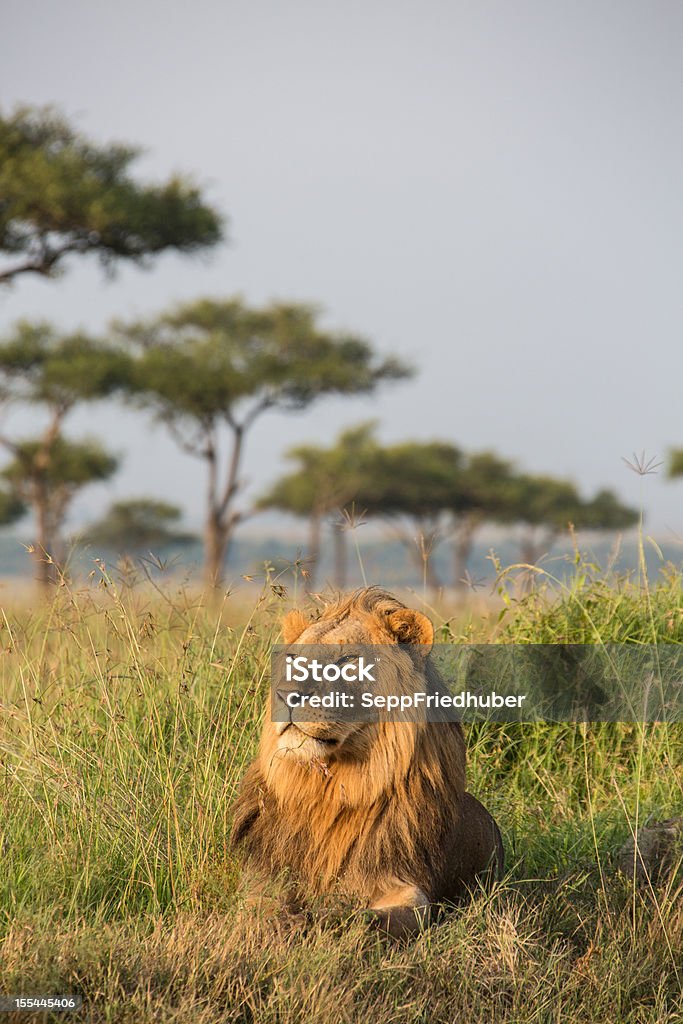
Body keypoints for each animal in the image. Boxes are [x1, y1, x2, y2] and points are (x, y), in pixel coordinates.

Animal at [232, 585, 505, 937]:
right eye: (292, 659)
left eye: (347, 660)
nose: (286, 695)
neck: (330, 792)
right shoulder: (261, 879)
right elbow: (255, 910)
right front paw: (280, 923)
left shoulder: (407, 886)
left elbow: (371, 919)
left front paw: (321, 920)